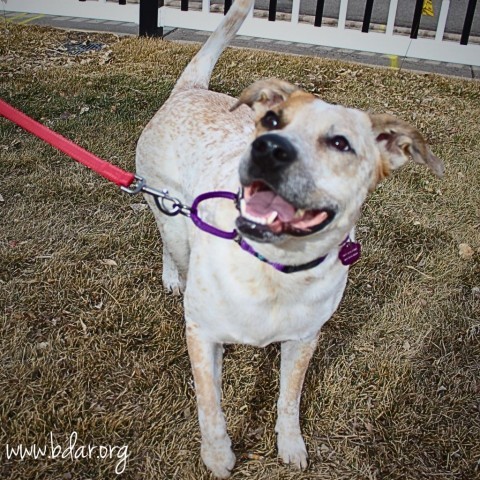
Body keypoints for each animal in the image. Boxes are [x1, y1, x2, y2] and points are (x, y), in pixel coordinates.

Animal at [135, 1, 442, 478]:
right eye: (272, 121)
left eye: (340, 143)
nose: (268, 148)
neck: (272, 267)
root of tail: (189, 90)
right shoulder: (201, 335)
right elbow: (210, 406)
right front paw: (218, 457)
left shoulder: (304, 340)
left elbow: (289, 399)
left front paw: (291, 446)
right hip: (167, 209)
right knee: (172, 244)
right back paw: (172, 278)